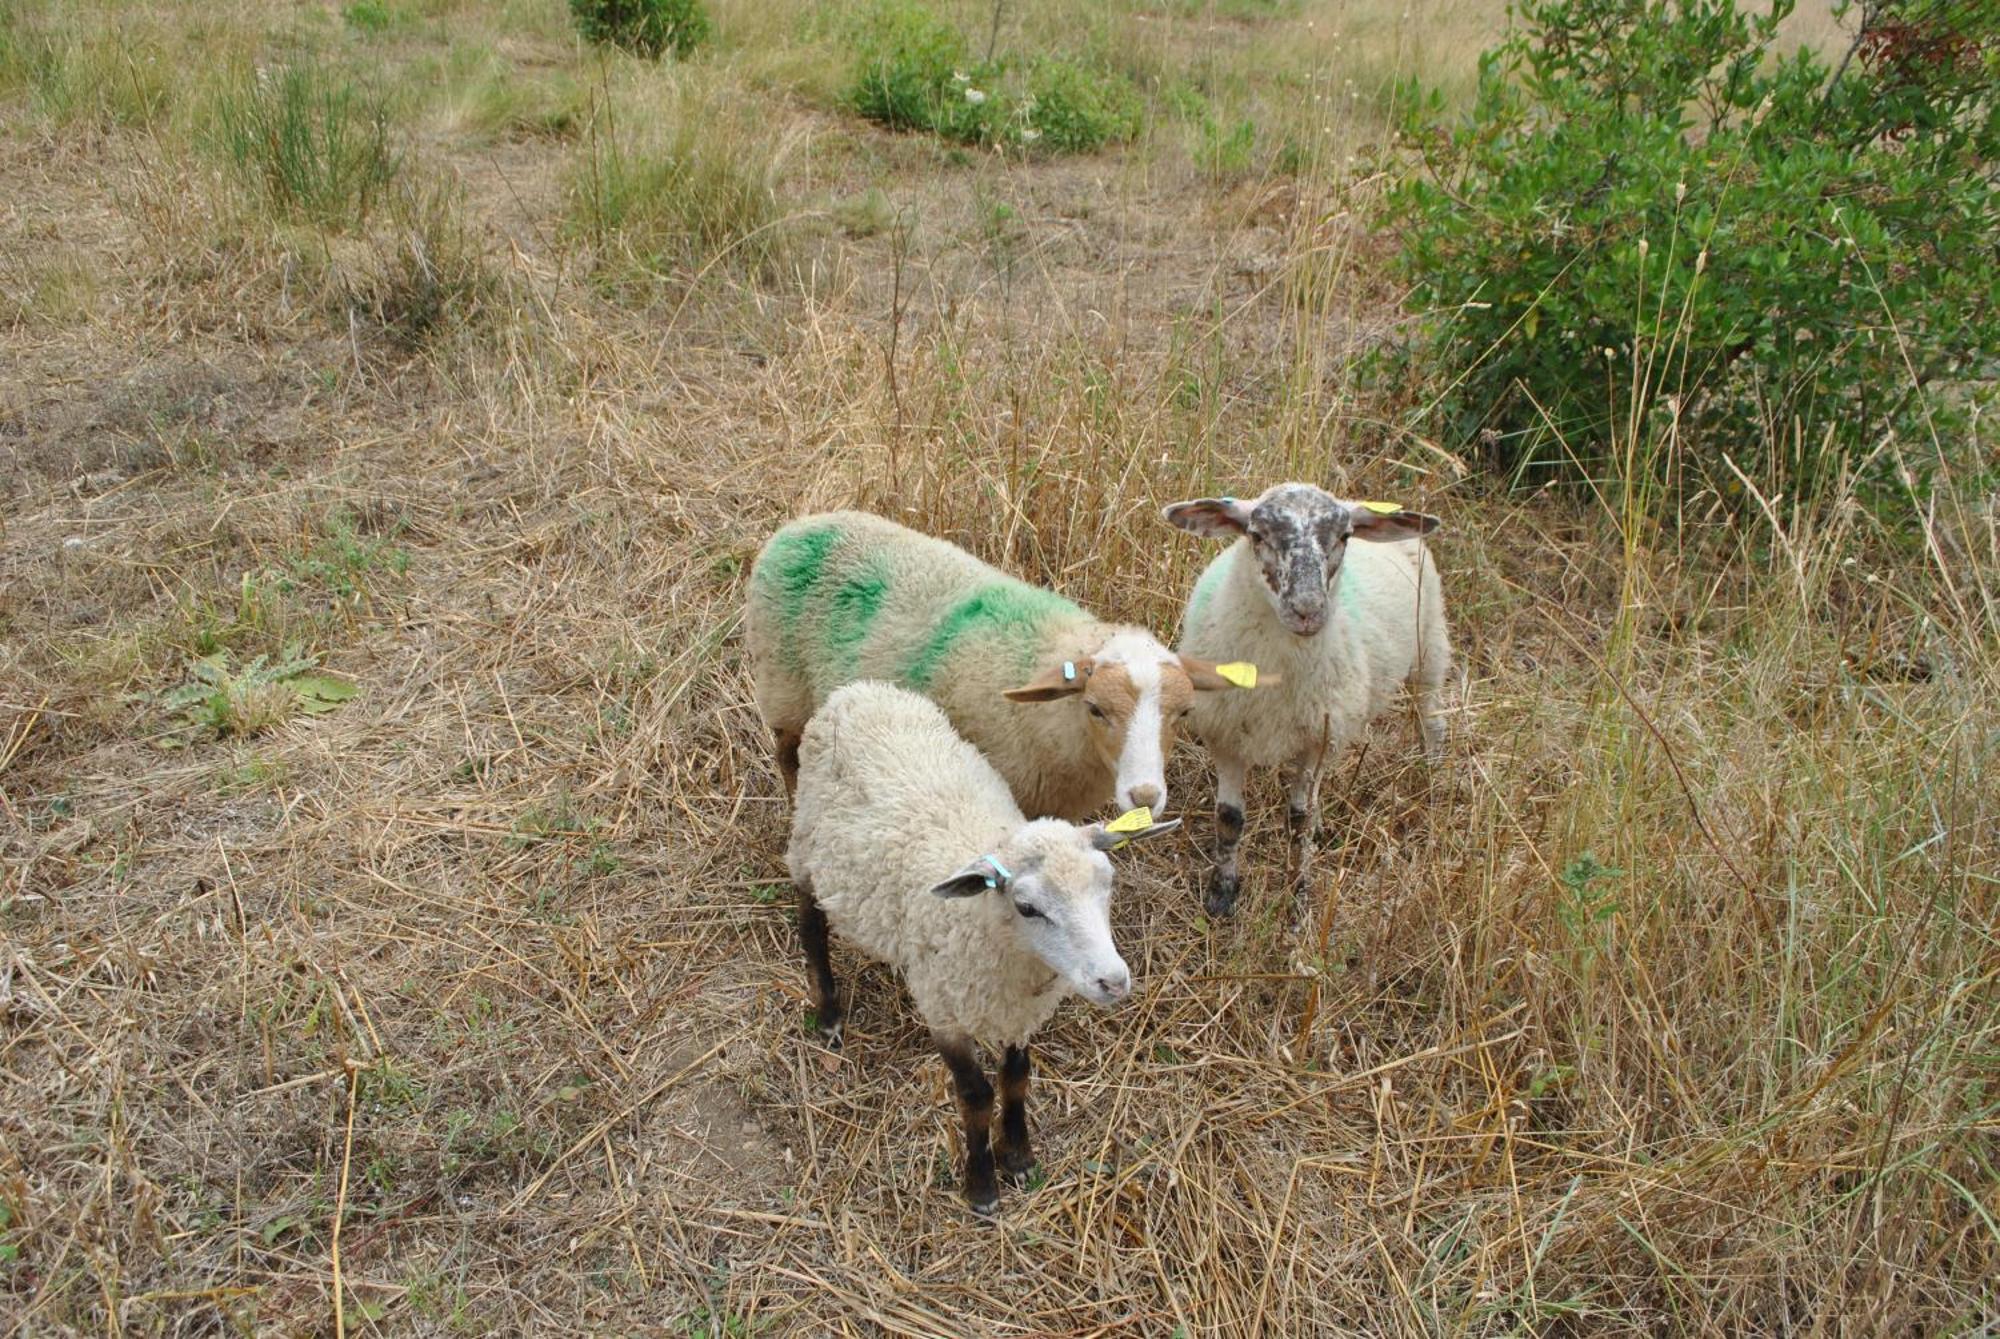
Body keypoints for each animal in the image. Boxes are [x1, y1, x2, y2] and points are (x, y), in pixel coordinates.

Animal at [744, 511, 1256, 823]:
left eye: (1184, 713)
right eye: (1094, 709)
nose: (1146, 797)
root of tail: (800, 526)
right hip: (783, 687)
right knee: (787, 755)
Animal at [788, 687, 1176, 1223]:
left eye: (1108, 882)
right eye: (1028, 907)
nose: (1112, 981)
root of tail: (857, 691)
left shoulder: (1019, 1012)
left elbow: (1015, 1078)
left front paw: (1018, 1155)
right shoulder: (943, 1008)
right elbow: (975, 1096)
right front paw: (982, 1185)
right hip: (806, 842)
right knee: (809, 919)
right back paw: (826, 1011)